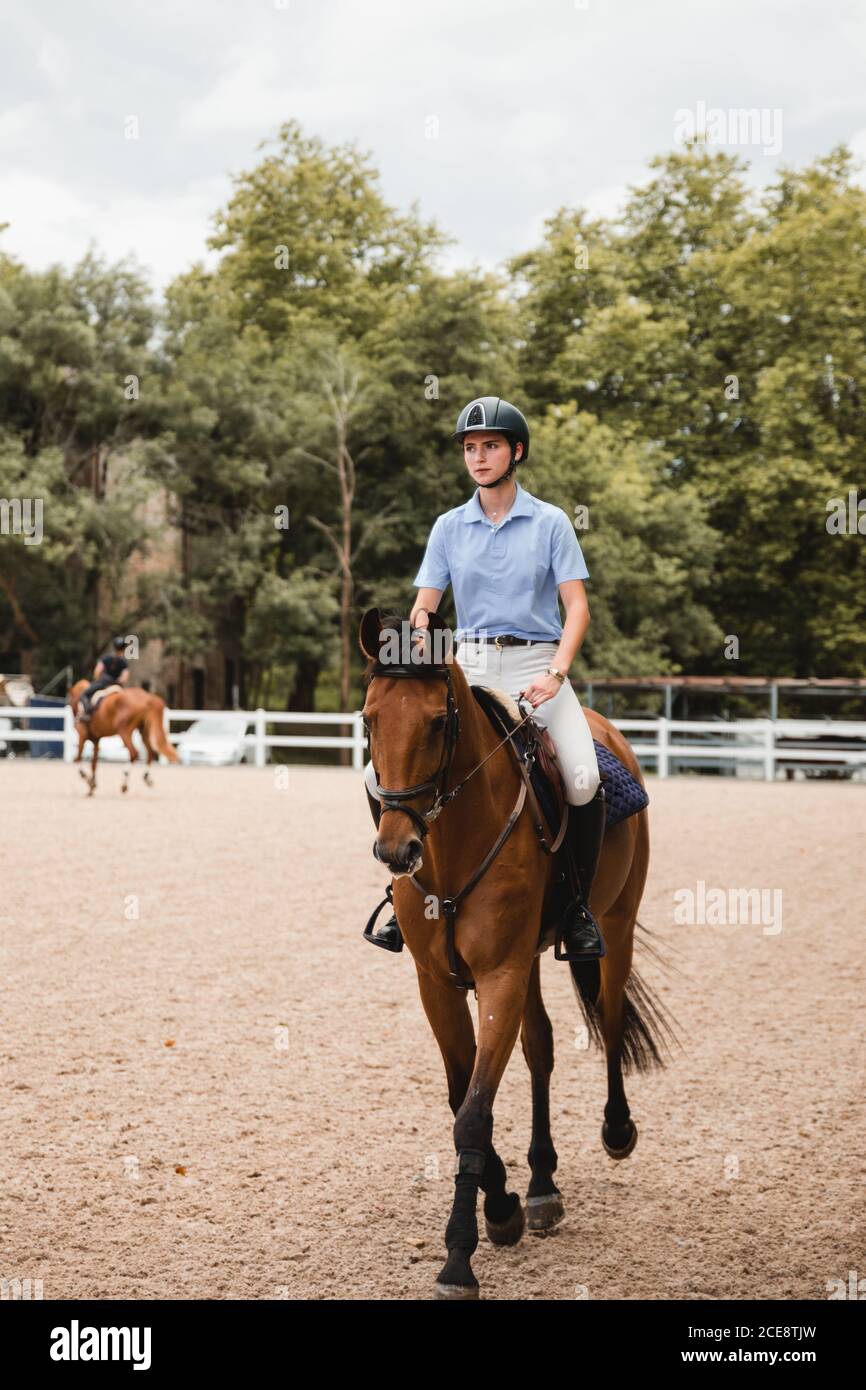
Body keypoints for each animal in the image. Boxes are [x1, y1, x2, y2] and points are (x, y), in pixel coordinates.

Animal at [358, 608, 678, 1301]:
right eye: (369, 719)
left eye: (438, 722)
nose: (397, 851)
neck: (450, 850)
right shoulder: (438, 982)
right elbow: (463, 1095)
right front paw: (502, 1205)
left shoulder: (500, 974)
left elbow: (475, 1113)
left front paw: (459, 1256)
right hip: (529, 960)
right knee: (541, 1048)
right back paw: (541, 1185)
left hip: (616, 925)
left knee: (611, 1018)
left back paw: (616, 1131)